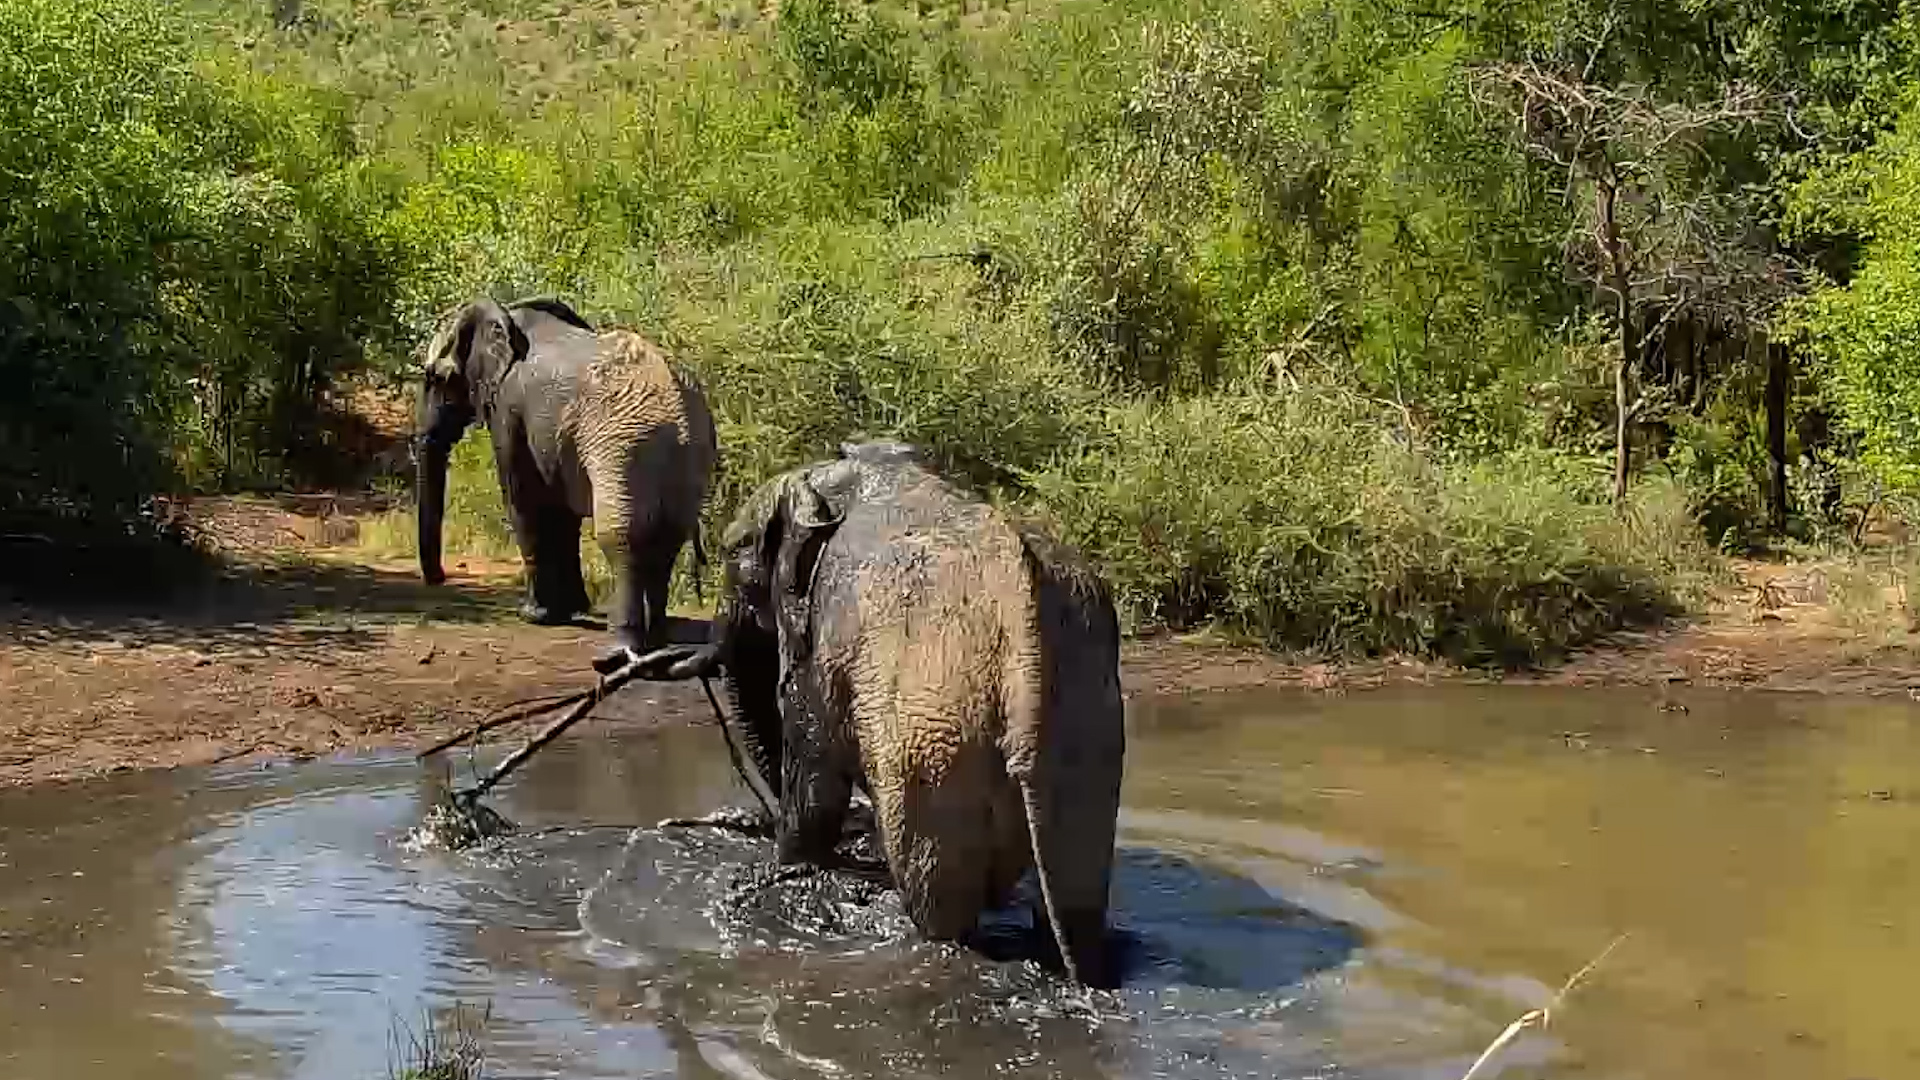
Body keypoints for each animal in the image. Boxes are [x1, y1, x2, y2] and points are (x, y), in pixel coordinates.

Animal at [416, 297, 717, 654]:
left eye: (437, 378)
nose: (439, 578)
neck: (507, 315)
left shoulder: (509, 411)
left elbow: (523, 502)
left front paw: (535, 616)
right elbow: (563, 514)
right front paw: (571, 610)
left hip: (623, 445)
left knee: (621, 534)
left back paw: (623, 644)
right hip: (689, 452)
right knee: (668, 536)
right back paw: (657, 640)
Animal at [659, 441, 1128, 988]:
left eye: (735, 551)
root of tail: (1025, 637)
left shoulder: (820, 638)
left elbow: (814, 779)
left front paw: (793, 864)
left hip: (934, 741)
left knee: (938, 901)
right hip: (1085, 724)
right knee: (1075, 897)